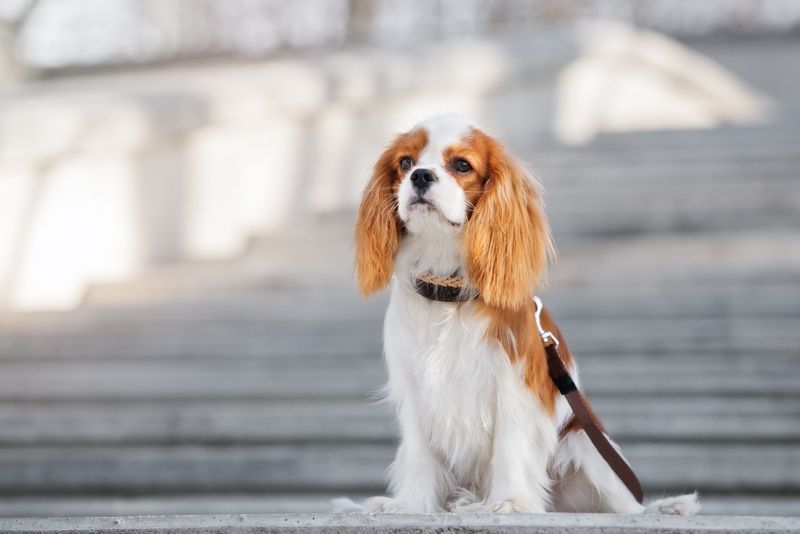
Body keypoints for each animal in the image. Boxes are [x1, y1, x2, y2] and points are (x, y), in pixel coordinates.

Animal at [338, 115, 700, 516]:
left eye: (461, 165)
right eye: (405, 163)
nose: (420, 176)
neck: (448, 287)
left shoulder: (516, 386)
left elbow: (511, 446)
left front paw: (511, 502)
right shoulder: (415, 390)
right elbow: (419, 454)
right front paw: (412, 506)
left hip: (585, 447)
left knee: (626, 506)